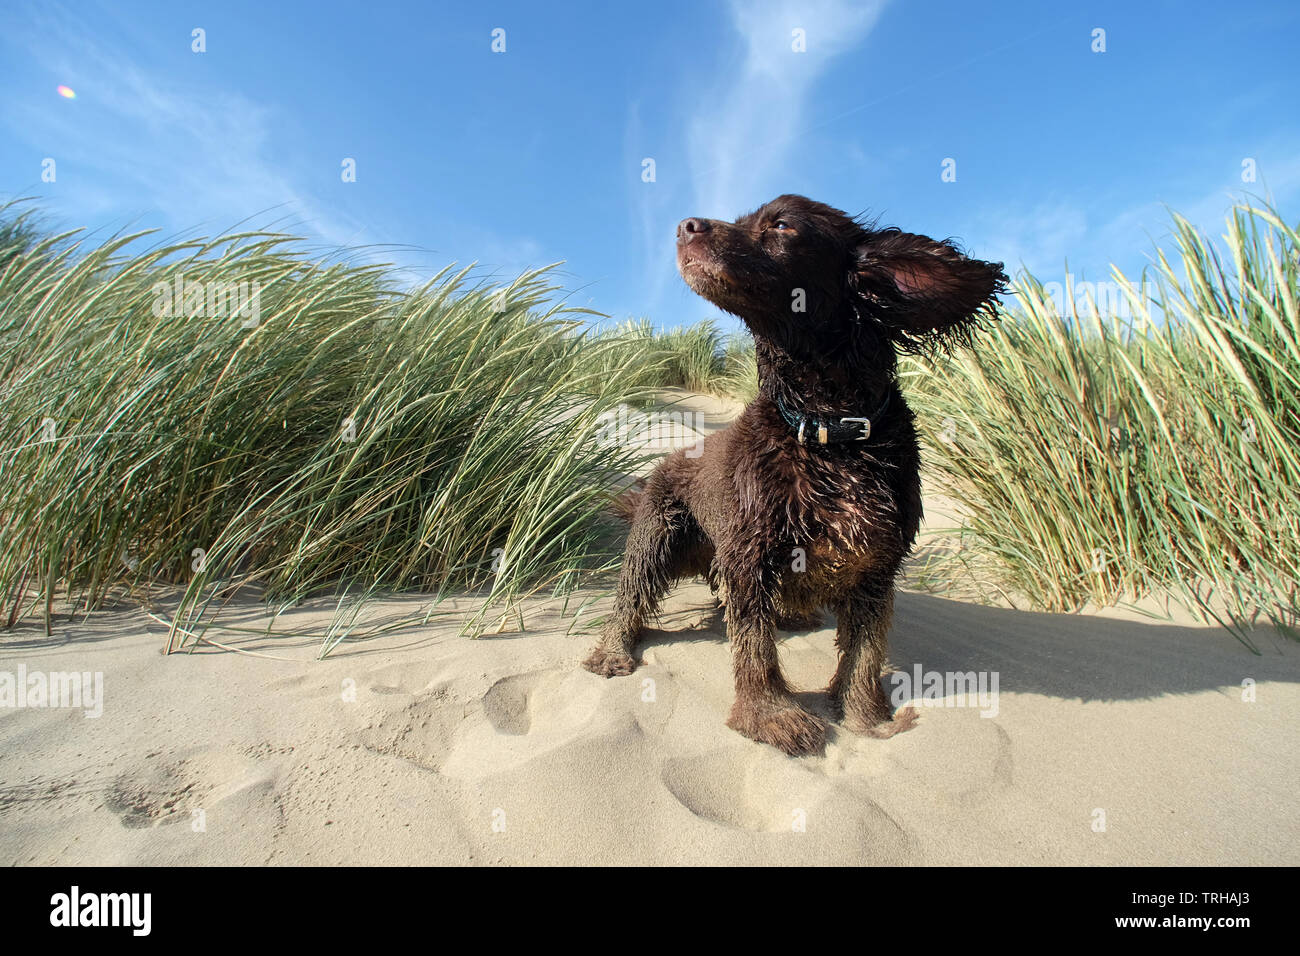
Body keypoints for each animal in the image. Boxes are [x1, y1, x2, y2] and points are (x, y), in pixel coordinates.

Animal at [582, 195, 1003, 754]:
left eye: (781, 224)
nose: (684, 226)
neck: (827, 431)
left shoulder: (876, 566)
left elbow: (865, 654)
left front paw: (865, 718)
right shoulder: (749, 555)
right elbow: (755, 647)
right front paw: (771, 715)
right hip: (658, 535)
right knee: (631, 595)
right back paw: (611, 651)